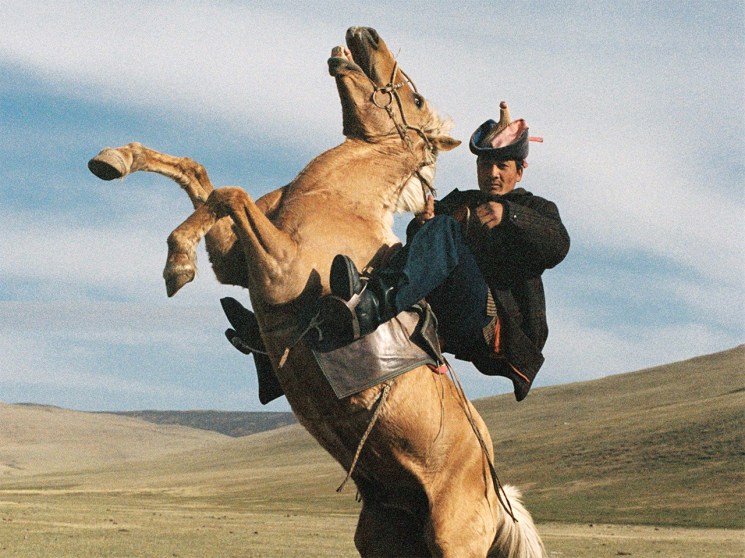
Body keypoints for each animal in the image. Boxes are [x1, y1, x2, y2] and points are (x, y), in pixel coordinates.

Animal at [91, 27, 545, 558]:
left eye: (415, 99)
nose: (364, 33)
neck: (336, 199)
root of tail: (498, 498)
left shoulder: (280, 269)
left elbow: (230, 194)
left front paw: (177, 264)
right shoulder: (234, 263)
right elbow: (202, 178)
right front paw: (116, 160)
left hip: (452, 542)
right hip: (382, 536)